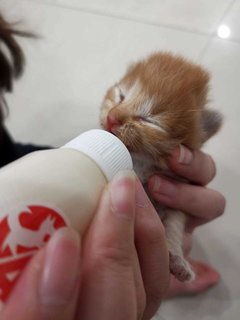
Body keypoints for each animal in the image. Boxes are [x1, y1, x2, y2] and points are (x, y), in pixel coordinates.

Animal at [99, 51, 221, 282]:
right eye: (121, 96)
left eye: (149, 120)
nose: (111, 118)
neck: (140, 163)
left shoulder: (175, 196)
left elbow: (174, 224)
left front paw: (177, 259)